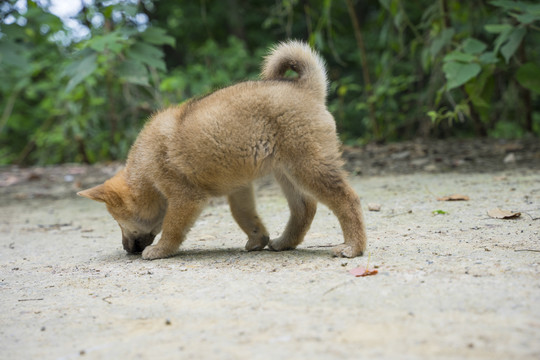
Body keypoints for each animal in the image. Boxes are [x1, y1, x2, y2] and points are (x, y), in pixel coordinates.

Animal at [77, 40, 368, 258]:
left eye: (118, 221)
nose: (127, 249)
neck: (146, 169)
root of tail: (306, 88)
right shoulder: (239, 188)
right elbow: (244, 216)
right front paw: (258, 239)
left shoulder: (185, 198)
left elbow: (172, 227)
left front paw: (160, 250)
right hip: (287, 172)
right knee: (305, 208)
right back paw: (285, 242)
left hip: (309, 167)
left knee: (347, 199)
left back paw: (353, 247)